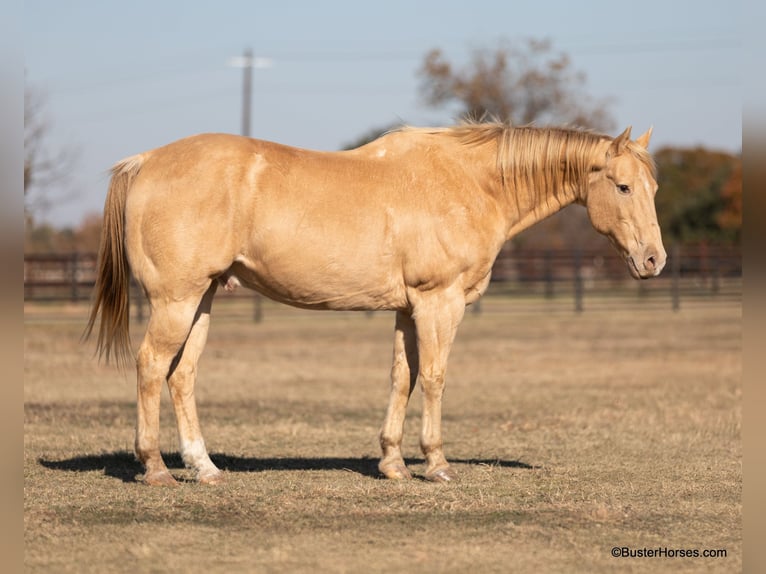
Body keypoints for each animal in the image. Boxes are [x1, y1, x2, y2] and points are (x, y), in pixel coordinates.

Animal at [85, 121, 665, 485]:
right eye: (623, 186)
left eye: (653, 187)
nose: (654, 260)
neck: (471, 182)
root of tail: (144, 162)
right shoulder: (439, 303)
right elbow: (433, 377)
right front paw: (436, 463)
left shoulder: (408, 309)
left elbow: (401, 378)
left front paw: (392, 463)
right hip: (176, 301)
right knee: (151, 366)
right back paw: (156, 468)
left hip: (202, 299)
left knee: (181, 376)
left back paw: (203, 467)